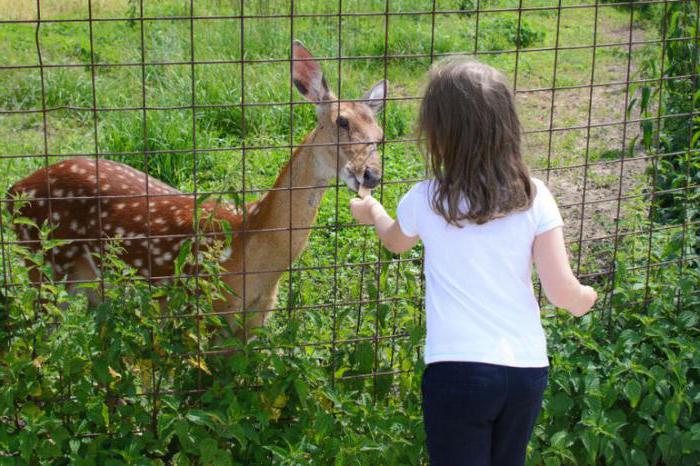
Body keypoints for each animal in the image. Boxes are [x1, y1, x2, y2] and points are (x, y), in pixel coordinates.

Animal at [6, 41, 388, 340]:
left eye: (380, 134)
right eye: (341, 121)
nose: (371, 174)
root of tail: (14, 190)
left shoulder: (254, 321)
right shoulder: (201, 308)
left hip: (91, 284)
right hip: (43, 263)